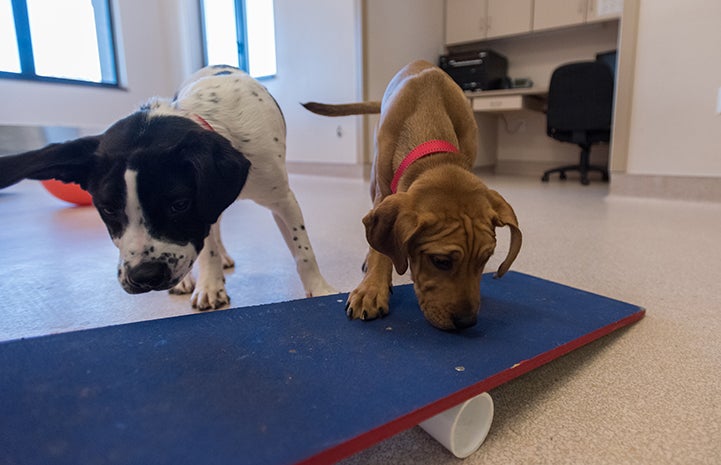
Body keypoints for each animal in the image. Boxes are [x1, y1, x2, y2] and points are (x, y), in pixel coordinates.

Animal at [0, 64, 336, 308]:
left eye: (179, 204)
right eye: (107, 208)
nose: (145, 276)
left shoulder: (280, 198)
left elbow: (303, 252)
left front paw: (319, 289)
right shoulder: (205, 208)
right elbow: (208, 247)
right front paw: (209, 284)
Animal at [300, 59, 520, 330]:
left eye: (486, 258)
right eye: (441, 261)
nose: (467, 321)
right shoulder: (384, 192)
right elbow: (381, 250)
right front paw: (372, 289)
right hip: (373, 180)